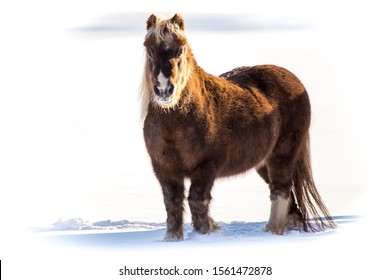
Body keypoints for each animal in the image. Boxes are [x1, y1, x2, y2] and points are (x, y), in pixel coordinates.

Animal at [139, 13, 336, 241]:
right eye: (149, 49)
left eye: (180, 49)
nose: (164, 89)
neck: (176, 124)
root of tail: (293, 79)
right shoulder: (164, 169)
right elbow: (172, 204)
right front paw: (172, 239)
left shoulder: (206, 167)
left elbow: (197, 201)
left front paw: (204, 234)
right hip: (263, 163)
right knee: (290, 202)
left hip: (283, 155)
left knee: (280, 191)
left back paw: (272, 231)